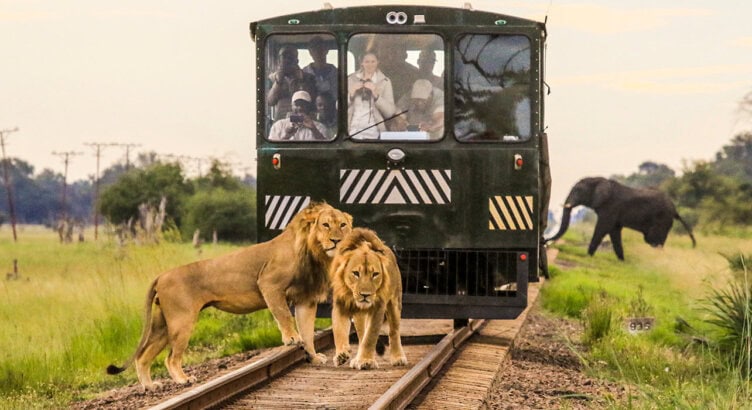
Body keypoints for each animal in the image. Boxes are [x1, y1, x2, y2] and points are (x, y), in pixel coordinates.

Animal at [107, 202, 352, 391]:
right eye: (325, 224)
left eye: (343, 225)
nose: (337, 241)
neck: (314, 252)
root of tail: (160, 276)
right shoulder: (269, 283)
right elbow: (283, 314)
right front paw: (292, 339)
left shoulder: (305, 300)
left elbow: (309, 332)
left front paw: (314, 356)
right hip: (181, 321)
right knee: (170, 358)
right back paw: (184, 380)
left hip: (163, 325)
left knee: (143, 357)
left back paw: (150, 386)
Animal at [329, 228, 408, 370]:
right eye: (356, 273)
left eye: (375, 274)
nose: (365, 295)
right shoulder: (340, 304)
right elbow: (338, 330)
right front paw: (341, 355)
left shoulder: (378, 307)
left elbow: (370, 335)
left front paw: (366, 361)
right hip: (359, 316)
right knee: (361, 334)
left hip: (394, 303)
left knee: (394, 331)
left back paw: (398, 358)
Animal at [546, 177, 696, 260]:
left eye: (578, 191)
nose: (545, 241)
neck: (599, 180)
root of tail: (675, 209)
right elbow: (614, 232)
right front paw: (622, 260)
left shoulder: (610, 207)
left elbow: (602, 228)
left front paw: (587, 256)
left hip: (662, 220)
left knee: (653, 240)